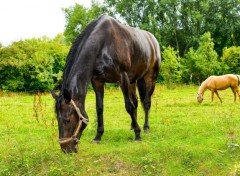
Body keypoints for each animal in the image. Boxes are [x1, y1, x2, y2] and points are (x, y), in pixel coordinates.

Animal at [51, 14, 162, 153]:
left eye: (68, 119)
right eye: (57, 118)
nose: (66, 149)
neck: (103, 45)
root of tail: (153, 40)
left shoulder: (123, 78)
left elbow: (129, 106)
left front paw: (138, 134)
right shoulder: (97, 81)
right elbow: (99, 108)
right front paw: (98, 136)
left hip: (149, 78)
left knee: (146, 102)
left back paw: (145, 127)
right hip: (133, 81)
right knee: (136, 101)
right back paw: (133, 125)